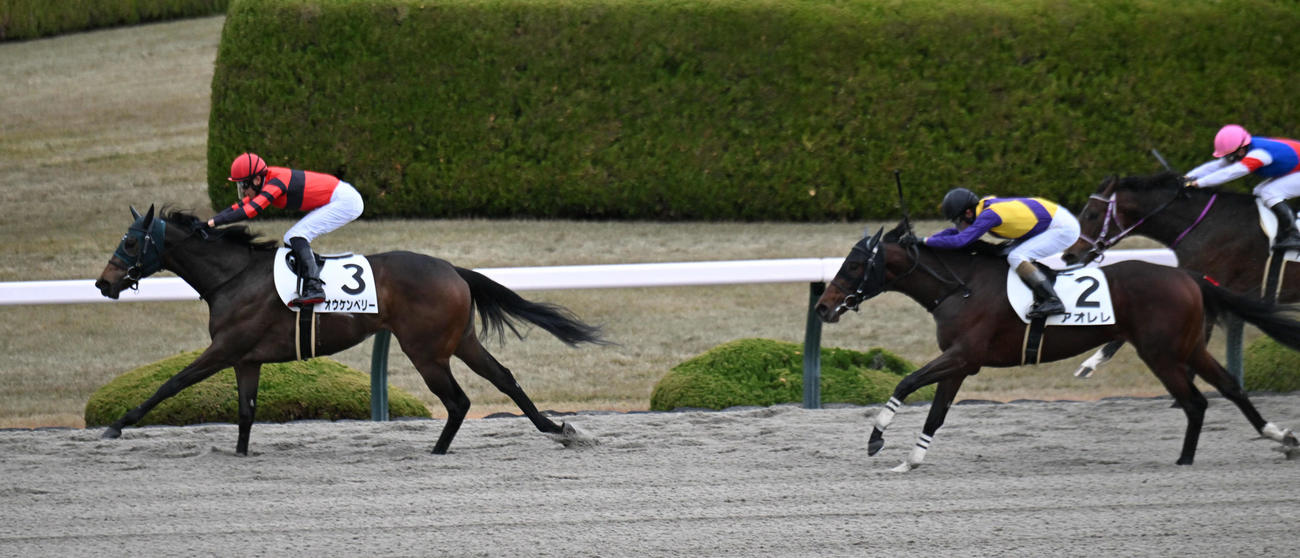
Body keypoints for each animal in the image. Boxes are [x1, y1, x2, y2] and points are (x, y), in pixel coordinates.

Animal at [94, 206, 607, 456]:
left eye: (130, 242)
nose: (103, 283)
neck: (233, 277)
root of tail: (453, 270)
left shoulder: (225, 348)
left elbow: (171, 383)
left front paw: (117, 425)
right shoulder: (246, 359)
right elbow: (245, 412)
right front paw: (240, 454)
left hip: (426, 351)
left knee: (458, 401)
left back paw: (438, 451)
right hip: (460, 340)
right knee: (503, 378)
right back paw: (557, 428)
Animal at [814, 222, 1300, 471]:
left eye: (854, 264)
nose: (822, 306)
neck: (961, 286)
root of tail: (1188, 275)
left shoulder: (963, 356)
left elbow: (907, 381)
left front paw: (877, 437)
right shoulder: (960, 363)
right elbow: (937, 412)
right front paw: (912, 460)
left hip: (1161, 353)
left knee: (1196, 400)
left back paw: (1185, 460)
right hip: (1188, 347)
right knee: (1230, 388)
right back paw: (1278, 437)